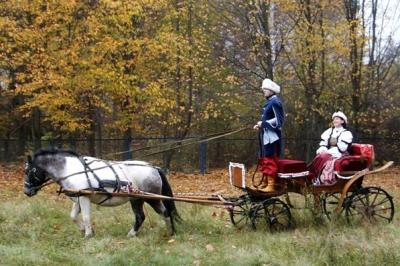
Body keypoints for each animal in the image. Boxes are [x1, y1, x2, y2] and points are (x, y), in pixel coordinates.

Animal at [21, 149, 178, 238]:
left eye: (28, 171)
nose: (26, 191)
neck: (70, 170)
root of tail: (154, 168)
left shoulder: (84, 197)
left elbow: (85, 217)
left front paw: (88, 235)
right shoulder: (78, 198)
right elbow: (73, 216)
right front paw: (84, 230)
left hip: (152, 198)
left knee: (164, 213)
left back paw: (170, 233)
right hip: (136, 199)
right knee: (140, 216)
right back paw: (132, 234)